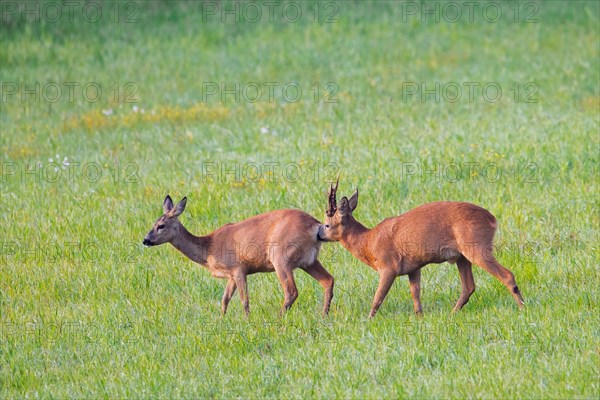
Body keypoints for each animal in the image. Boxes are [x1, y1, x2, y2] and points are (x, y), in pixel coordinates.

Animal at [144, 195, 336, 318]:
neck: (208, 248)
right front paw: (221, 320)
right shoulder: (230, 275)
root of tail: (316, 225)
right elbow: (225, 299)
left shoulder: (238, 268)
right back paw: (324, 315)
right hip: (309, 260)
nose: (145, 240)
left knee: (291, 291)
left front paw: (247, 320)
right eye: (153, 223)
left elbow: (244, 300)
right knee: (328, 280)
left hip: (281, 257)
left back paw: (279, 319)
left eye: (161, 225)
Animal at [318, 180, 524, 318]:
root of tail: (492, 219)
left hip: (477, 247)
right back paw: (452, 313)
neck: (368, 242)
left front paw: (368, 319)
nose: (319, 235)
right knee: (469, 286)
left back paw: (523, 307)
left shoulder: (388, 266)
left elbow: (378, 297)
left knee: (507, 275)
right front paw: (419, 317)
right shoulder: (414, 267)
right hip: (462, 257)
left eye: (327, 224)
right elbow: (415, 295)